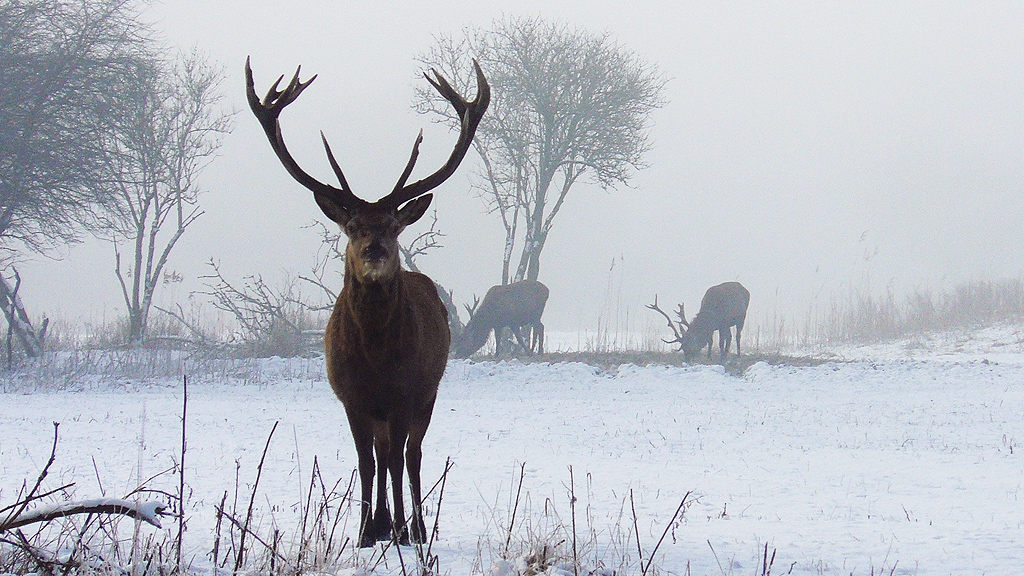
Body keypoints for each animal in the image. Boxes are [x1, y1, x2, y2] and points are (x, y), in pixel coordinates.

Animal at [245, 57, 489, 547]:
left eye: (394, 225)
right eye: (353, 225)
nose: (375, 250)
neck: (375, 355)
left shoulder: (403, 391)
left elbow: (395, 460)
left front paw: (399, 530)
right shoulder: (351, 396)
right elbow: (366, 461)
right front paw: (363, 532)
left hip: (428, 392)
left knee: (411, 454)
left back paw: (414, 526)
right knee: (383, 451)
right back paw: (380, 522)